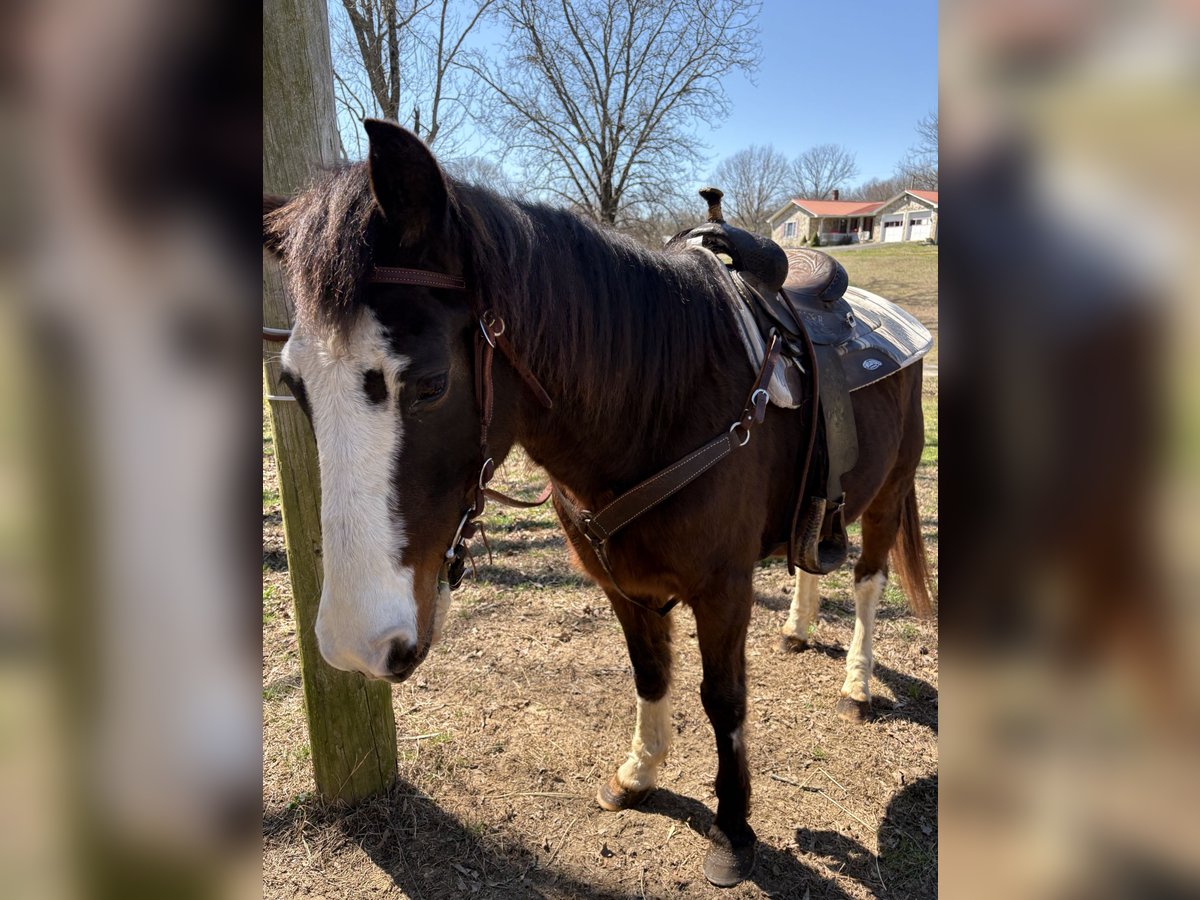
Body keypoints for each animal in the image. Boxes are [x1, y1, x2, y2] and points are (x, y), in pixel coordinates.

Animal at [265, 120, 936, 888]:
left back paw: (857, 682)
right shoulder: (620, 583)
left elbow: (724, 700)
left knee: (868, 581)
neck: (664, 402)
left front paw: (733, 830)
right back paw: (797, 627)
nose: (355, 645)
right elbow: (649, 672)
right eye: (293, 383)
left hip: (890, 490)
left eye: (432, 382)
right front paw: (639, 773)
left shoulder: (724, 589)